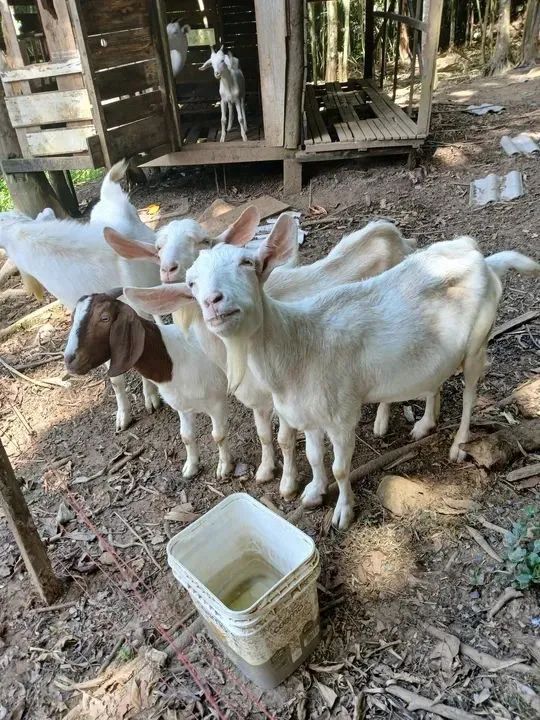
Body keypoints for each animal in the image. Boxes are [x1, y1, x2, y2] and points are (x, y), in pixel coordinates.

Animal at [64, 291, 232, 479]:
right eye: (72, 318)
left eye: (104, 318)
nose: (69, 360)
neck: (174, 358)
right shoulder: (182, 406)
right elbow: (186, 436)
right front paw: (191, 467)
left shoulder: (217, 402)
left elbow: (218, 435)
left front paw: (224, 467)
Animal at [112, 210, 423, 495]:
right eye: (191, 281)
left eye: (203, 240)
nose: (169, 269)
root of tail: (392, 234)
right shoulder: (256, 397)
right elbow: (263, 434)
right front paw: (265, 470)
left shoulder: (284, 397)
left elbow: (285, 439)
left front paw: (288, 483)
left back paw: (382, 422)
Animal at [141, 214, 539, 530]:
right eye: (191, 282)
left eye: (247, 263)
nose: (213, 301)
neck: (298, 345)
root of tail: (482, 258)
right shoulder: (307, 415)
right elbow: (315, 458)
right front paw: (313, 492)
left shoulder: (342, 415)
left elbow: (340, 468)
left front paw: (342, 513)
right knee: (436, 379)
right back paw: (425, 424)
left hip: (478, 342)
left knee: (471, 393)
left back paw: (458, 444)